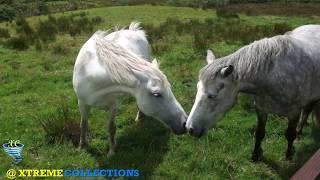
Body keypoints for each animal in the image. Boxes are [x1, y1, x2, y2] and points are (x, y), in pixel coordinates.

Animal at [72, 22, 188, 155]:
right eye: (156, 94)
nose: (185, 123)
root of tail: (134, 31)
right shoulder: (82, 102)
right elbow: (83, 125)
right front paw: (81, 147)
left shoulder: (114, 105)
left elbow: (111, 128)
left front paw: (111, 152)